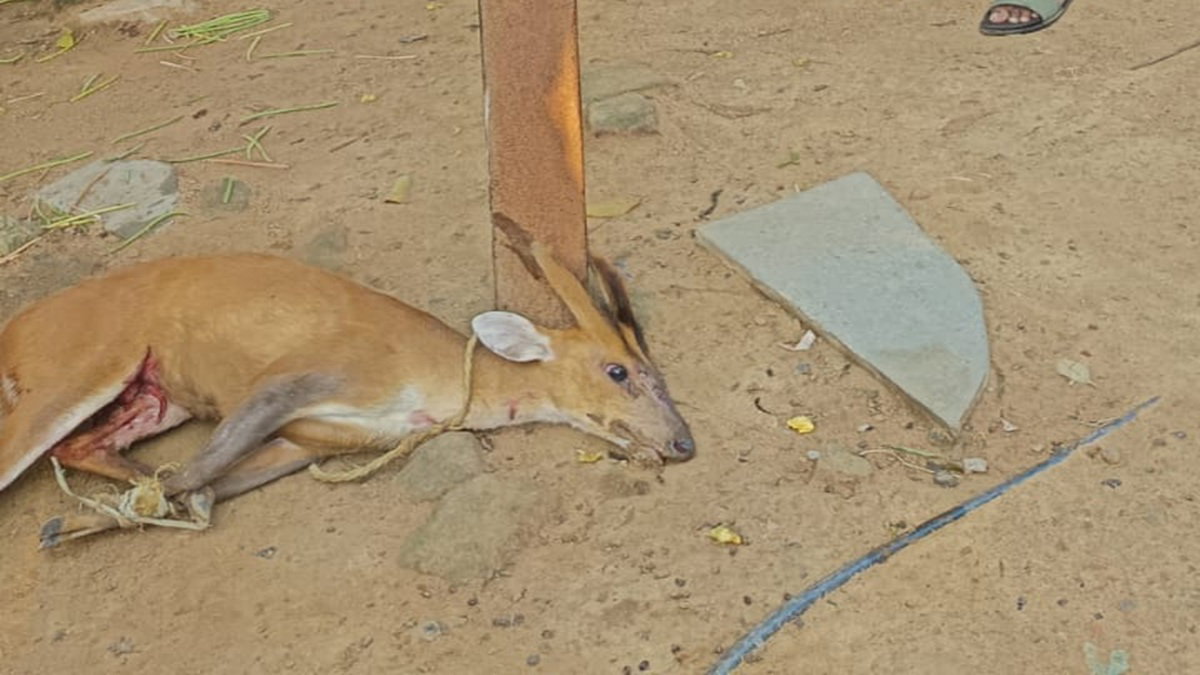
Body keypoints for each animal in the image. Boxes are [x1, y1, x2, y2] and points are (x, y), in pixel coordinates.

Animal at [0, 241, 694, 548]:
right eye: (619, 371)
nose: (683, 442)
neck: (431, 381)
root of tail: (15, 330)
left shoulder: (314, 441)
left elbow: (210, 482)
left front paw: (98, 518)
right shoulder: (300, 375)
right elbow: (200, 469)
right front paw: (68, 526)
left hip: (155, 394)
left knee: (80, 447)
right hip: (76, 367)